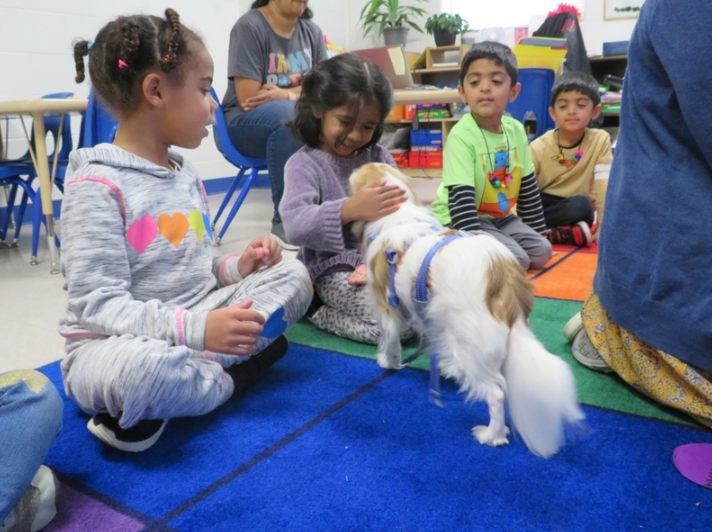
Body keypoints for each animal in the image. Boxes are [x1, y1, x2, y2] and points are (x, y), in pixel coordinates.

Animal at [350, 163, 584, 458]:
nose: (361, 163)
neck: (400, 217)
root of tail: (503, 276)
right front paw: (445, 367)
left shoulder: (388, 306)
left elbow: (391, 340)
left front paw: (388, 361)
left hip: (470, 344)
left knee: (496, 394)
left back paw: (493, 435)